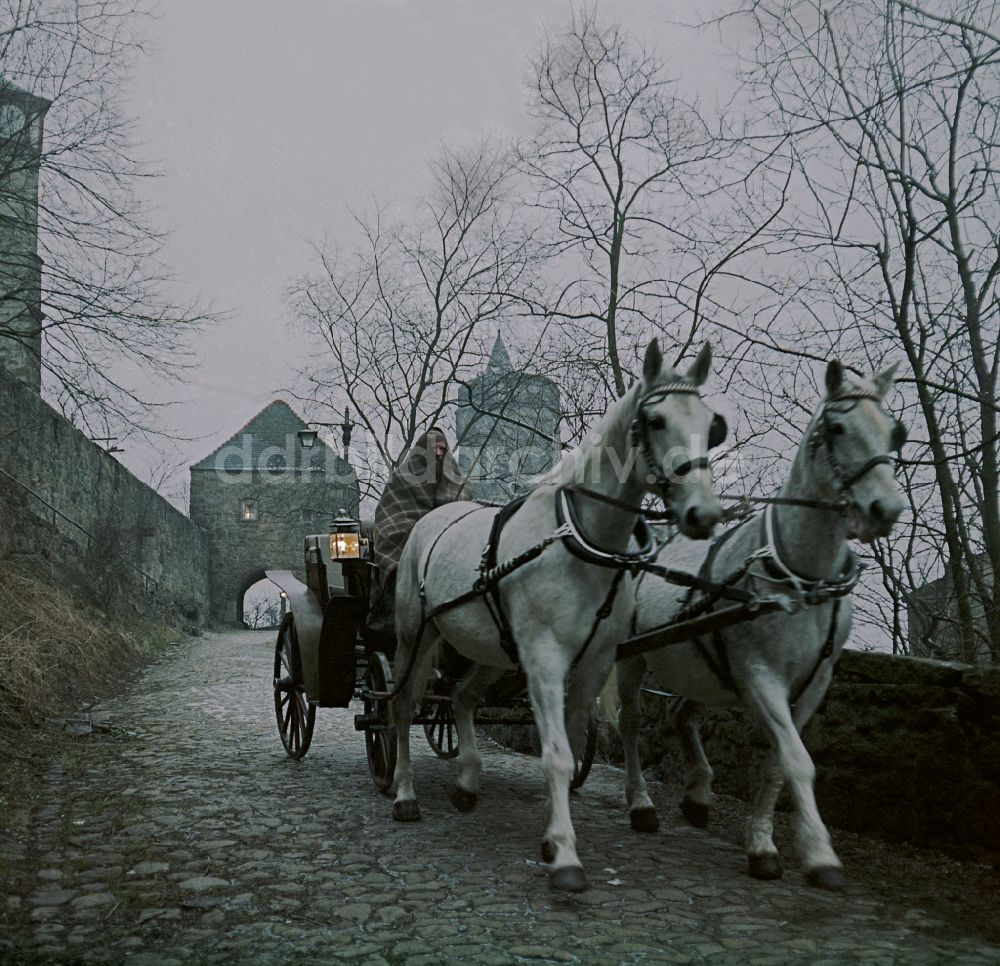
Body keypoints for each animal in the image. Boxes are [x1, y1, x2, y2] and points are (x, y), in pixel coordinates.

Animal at [390, 338, 728, 892]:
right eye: (654, 421)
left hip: (492, 652)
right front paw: (566, 855)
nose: (704, 514)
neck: (582, 541)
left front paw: (553, 836)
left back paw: (467, 781)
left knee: (461, 697)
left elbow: (570, 746)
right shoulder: (546, 660)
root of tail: (432, 518)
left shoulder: (591, 663)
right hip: (413, 638)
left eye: (710, 422)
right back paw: (403, 794)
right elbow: (556, 755)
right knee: (400, 707)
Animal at [616, 362, 908, 892]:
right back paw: (641, 803)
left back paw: (697, 793)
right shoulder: (760, 675)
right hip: (632, 656)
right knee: (630, 723)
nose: (886, 509)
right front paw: (813, 852)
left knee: (681, 714)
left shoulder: (813, 683)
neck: (802, 577)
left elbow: (777, 763)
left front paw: (764, 841)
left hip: (703, 667)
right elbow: (796, 760)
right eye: (837, 428)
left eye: (895, 432)